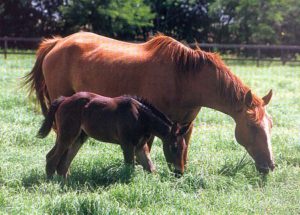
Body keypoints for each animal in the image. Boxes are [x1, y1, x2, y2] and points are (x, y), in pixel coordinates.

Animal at [37, 92, 188, 178]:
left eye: (184, 147)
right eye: (174, 147)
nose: (179, 172)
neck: (141, 117)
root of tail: (63, 100)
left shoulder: (140, 146)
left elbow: (151, 169)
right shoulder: (127, 145)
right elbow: (130, 169)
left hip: (78, 138)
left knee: (63, 163)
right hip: (67, 135)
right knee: (52, 158)